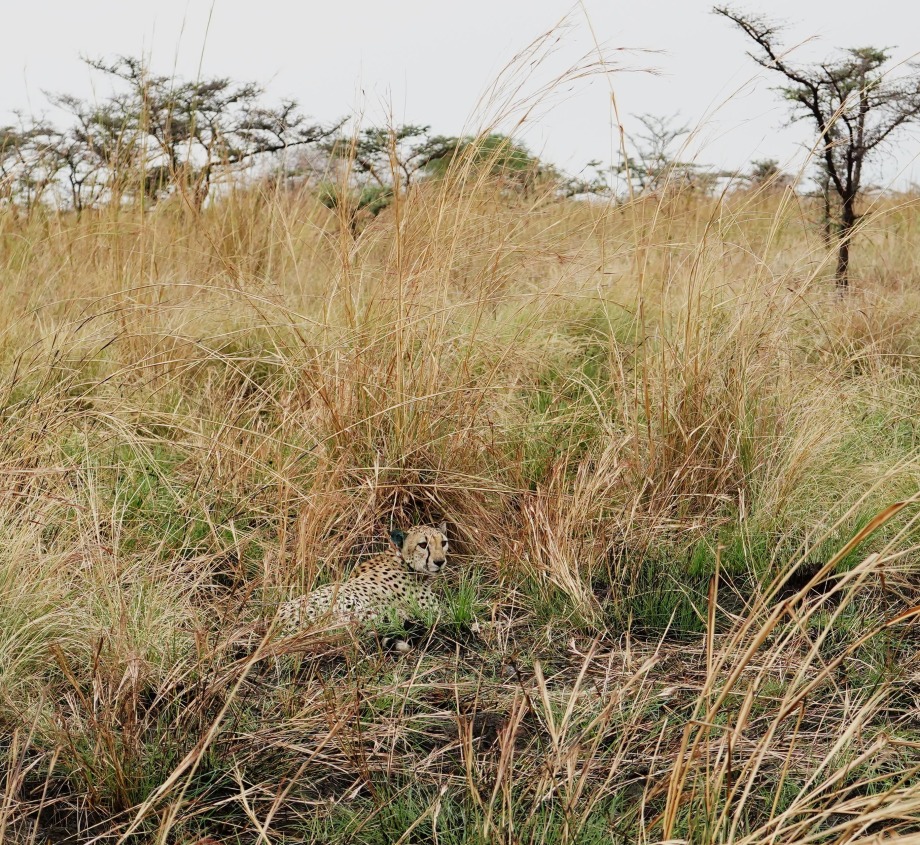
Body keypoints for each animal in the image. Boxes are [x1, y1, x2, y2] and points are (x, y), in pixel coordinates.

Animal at [275, 522, 449, 652]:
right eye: (423, 544)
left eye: (444, 543)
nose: (440, 562)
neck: (401, 559)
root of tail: (278, 624)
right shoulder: (434, 611)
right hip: (353, 606)